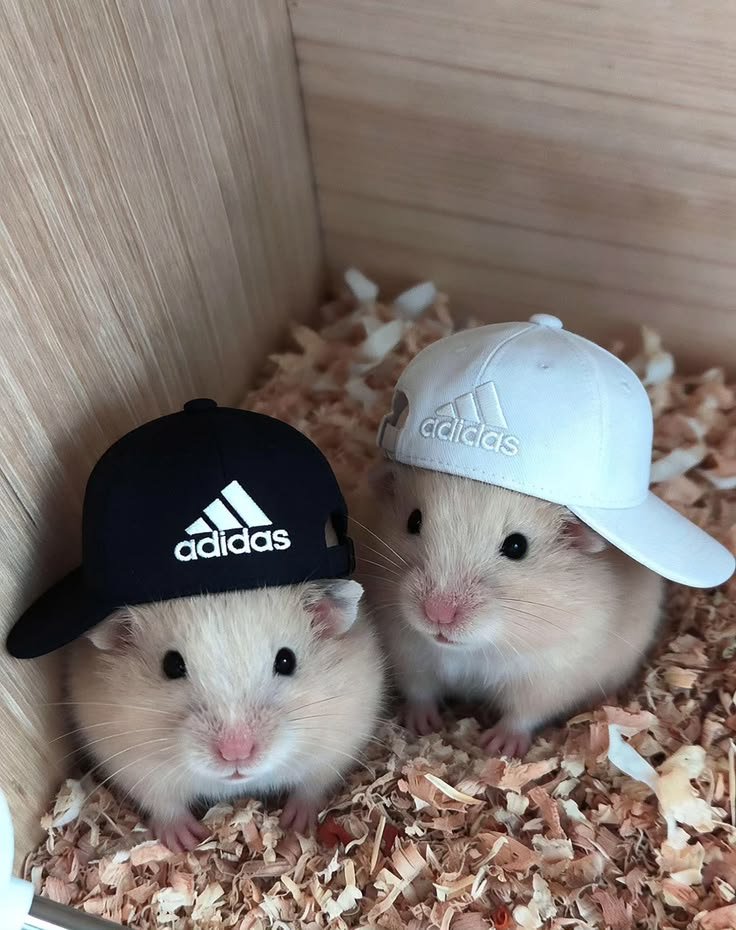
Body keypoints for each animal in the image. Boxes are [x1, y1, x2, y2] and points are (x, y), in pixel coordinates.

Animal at [65, 578, 384, 852]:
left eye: (286, 660)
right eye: (171, 665)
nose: (235, 753)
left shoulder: (337, 747)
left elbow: (311, 789)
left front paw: (295, 824)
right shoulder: (135, 766)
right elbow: (165, 805)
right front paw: (186, 841)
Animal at [357, 463, 663, 757]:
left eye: (517, 546)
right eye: (414, 521)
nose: (438, 614)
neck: (476, 650)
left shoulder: (550, 677)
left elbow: (522, 715)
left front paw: (496, 746)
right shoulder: (409, 655)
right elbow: (420, 692)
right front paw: (419, 725)